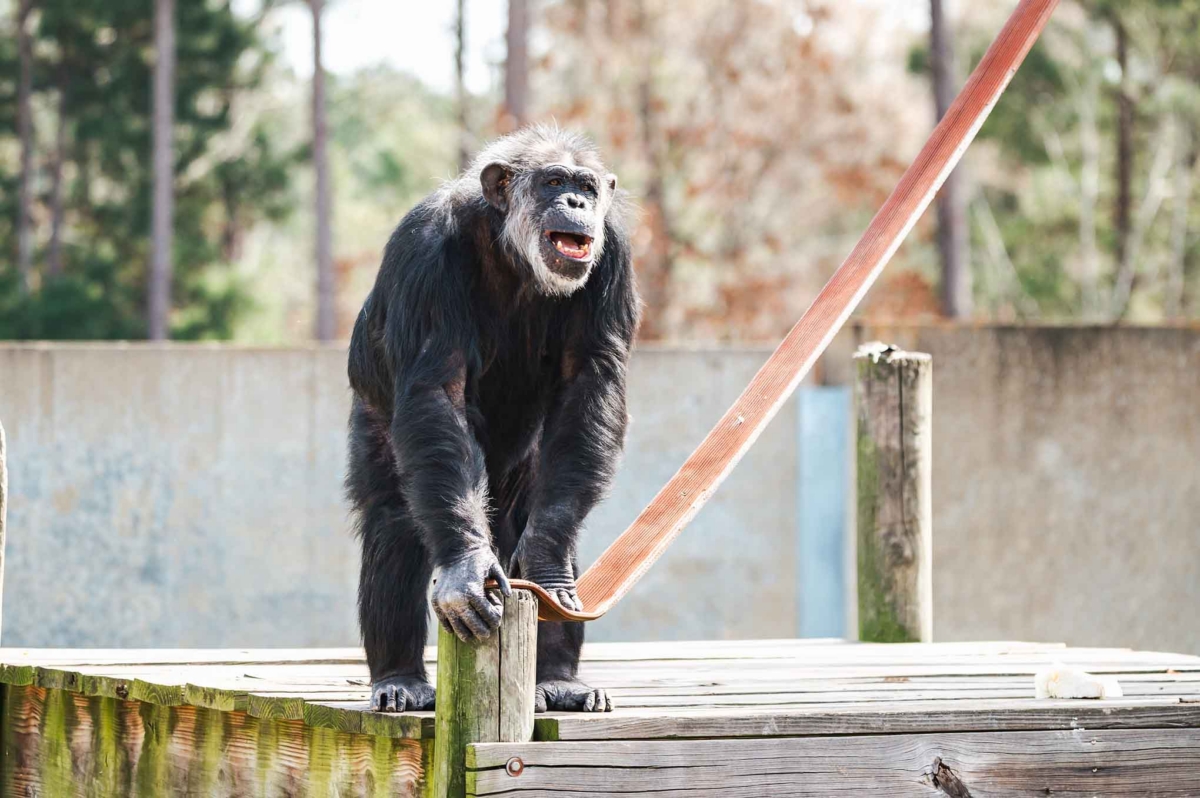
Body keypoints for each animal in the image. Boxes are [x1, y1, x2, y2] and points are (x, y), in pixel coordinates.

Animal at [346, 126, 639, 714]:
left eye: (586, 187)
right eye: (553, 181)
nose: (576, 203)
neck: (513, 254)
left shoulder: (614, 254)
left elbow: (590, 380)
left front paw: (546, 561)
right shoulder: (422, 251)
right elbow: (438, 388)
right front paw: (466, 568)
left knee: (543, 502)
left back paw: (559, 679)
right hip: (379, 422)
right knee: (396, 518)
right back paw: (399, 678)